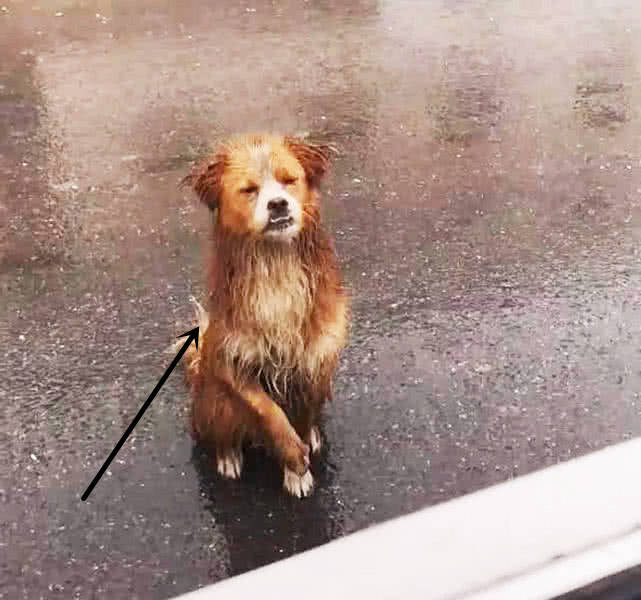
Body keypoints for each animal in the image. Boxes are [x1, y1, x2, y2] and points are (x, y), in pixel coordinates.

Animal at [179, 135, 350, 496]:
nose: (278, 205)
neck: (275, 261)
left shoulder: (315, 361)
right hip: (213, 399)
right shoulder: (232, 358)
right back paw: (228, 456)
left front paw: (299, 464)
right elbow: (268, 411)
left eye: (289, 180)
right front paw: (294, 458)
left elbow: (301, 416)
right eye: (249, 190)